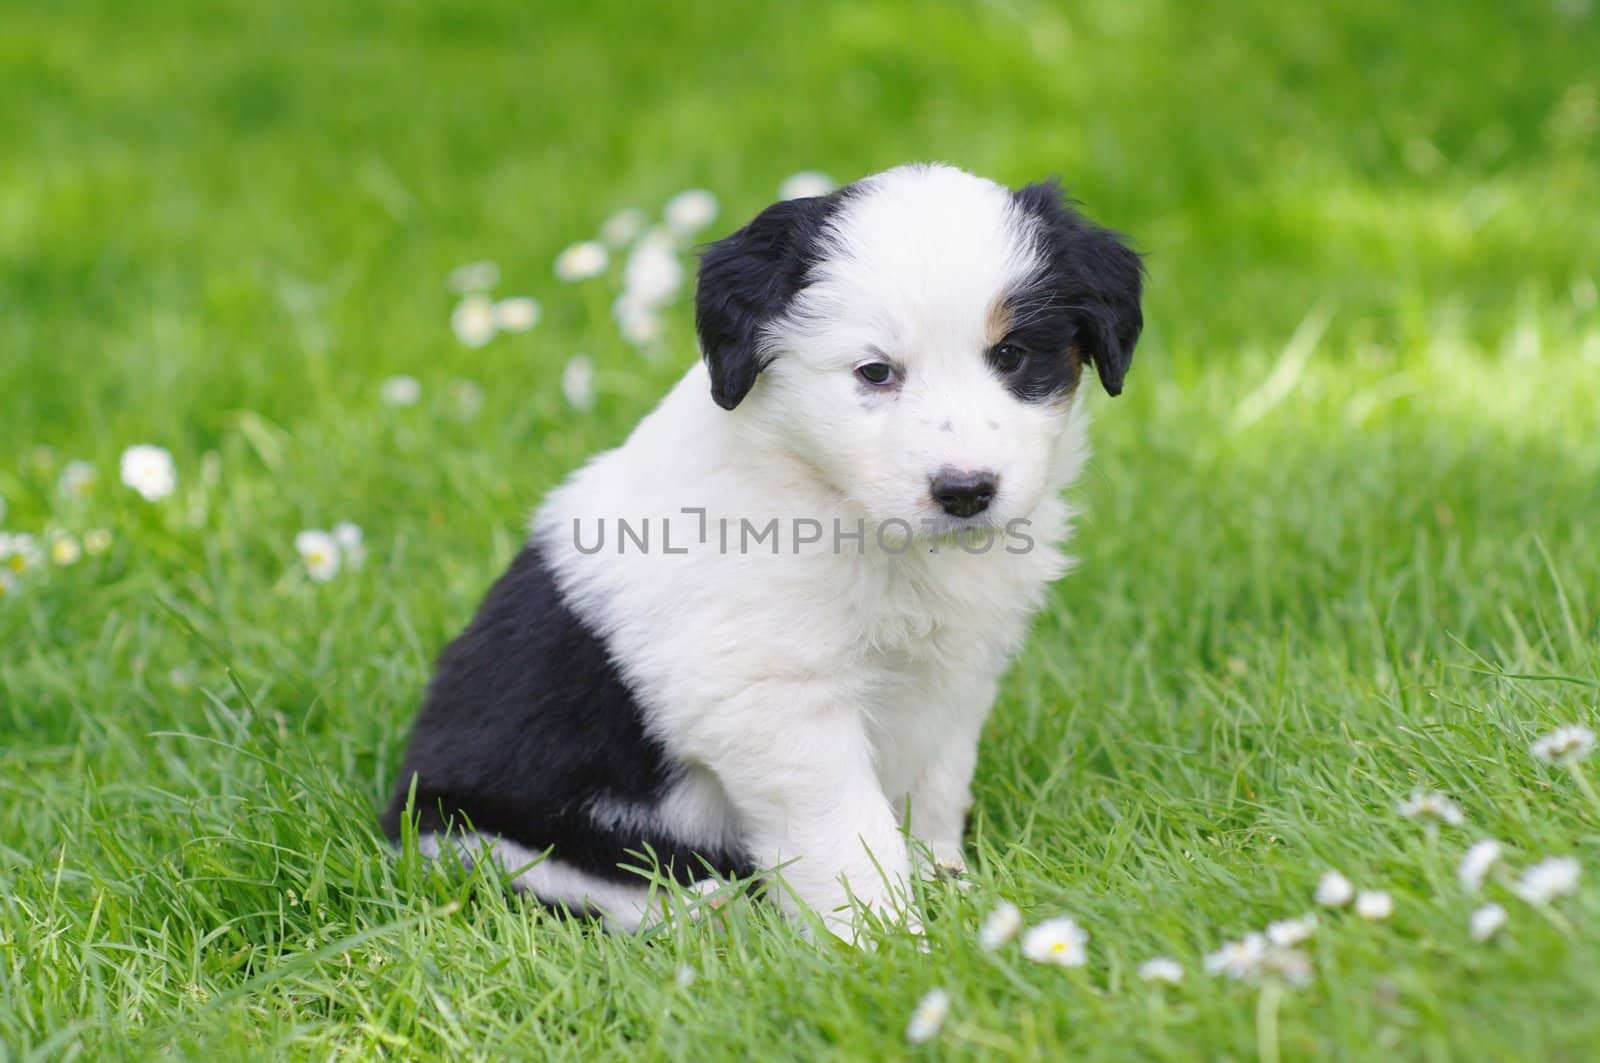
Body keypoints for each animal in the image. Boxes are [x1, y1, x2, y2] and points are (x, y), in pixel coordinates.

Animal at [380, 164, 1145, 941]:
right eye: (875, 372)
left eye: (1012, 355)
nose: (966, 491)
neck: (848, 507)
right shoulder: (775, 698)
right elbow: (846, 833)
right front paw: (885, 940)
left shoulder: (954, 677)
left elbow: (933, 787)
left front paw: (946, 884)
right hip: (477, 832)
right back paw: (706, 910)